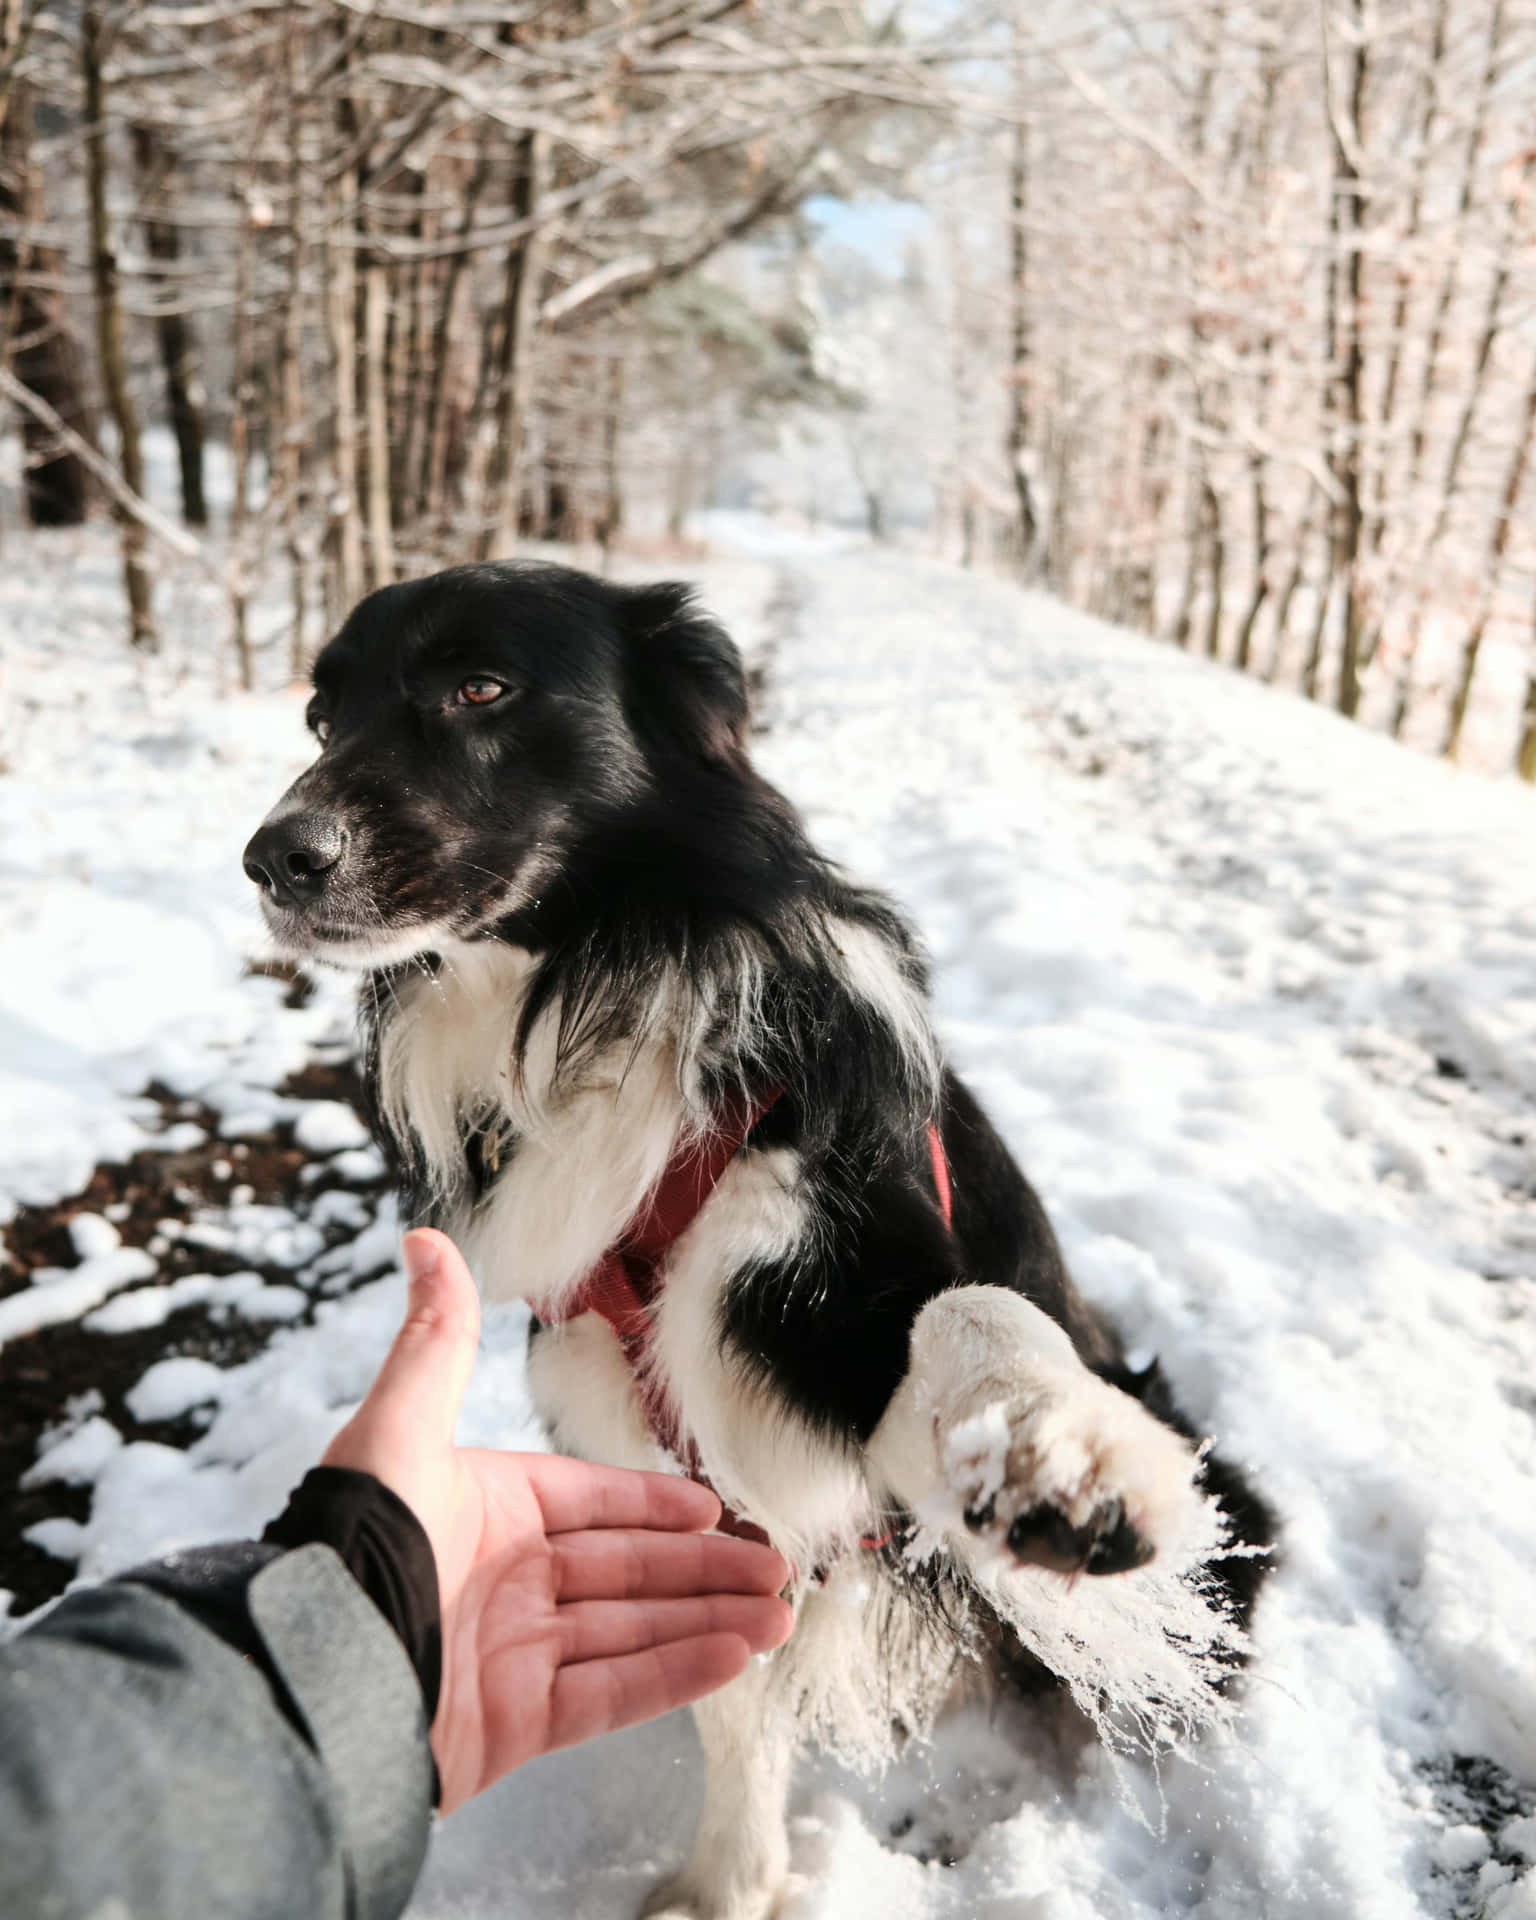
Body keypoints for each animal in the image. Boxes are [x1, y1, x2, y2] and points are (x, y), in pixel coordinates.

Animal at [242, 560, 1274, 1912]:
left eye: (482, 687)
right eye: (322, 719)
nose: (271, 858)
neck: (588, 989)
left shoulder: (839, 1292)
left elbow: (967, 1308)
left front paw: (1051, 1443)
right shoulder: (656, 1445)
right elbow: (732, 1694)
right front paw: (730, 1881)